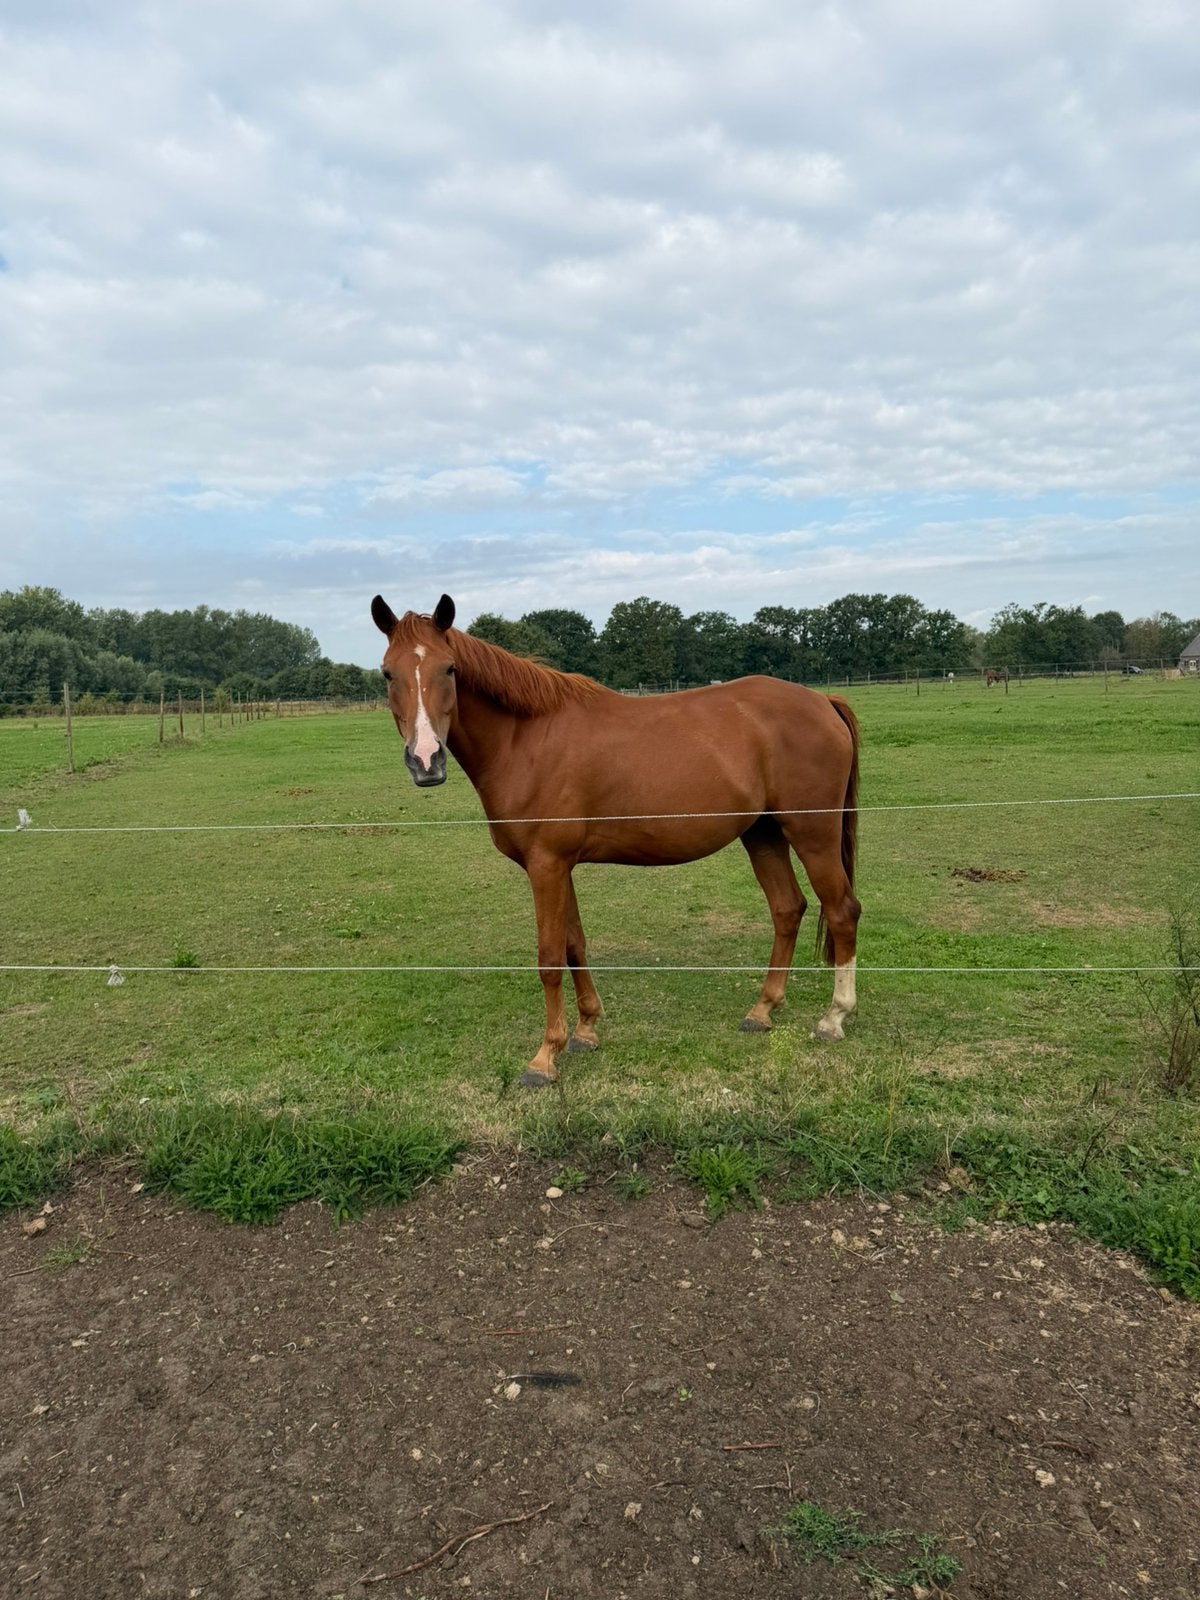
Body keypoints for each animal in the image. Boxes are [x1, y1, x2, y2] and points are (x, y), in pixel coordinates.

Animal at [372, 594, 862, 1088]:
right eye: (388, 673)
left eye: (449, 668)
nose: (426, 761)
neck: (525, 740)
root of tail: (823, 701)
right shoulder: (558, 865)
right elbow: (574, 946)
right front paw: (586, 1030)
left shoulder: (546, 864)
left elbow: (549, 956)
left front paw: (545, 1057)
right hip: (763, 833)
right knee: (787, 909)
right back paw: (762, 1010)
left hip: (812, 833)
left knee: (842, 911)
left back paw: (833, 1018)